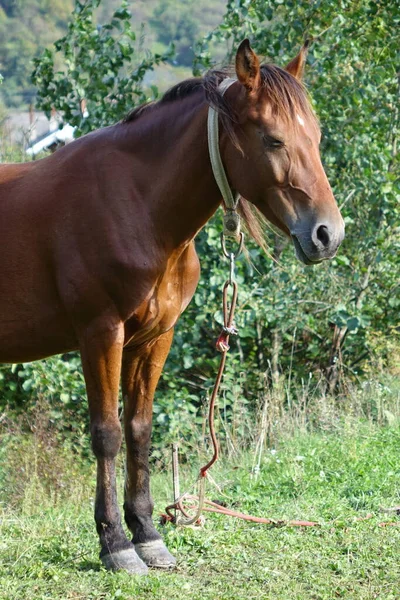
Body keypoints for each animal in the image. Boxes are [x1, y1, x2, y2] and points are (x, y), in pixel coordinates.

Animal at [0, 39, 344, 576]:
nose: (328, 234)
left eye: (317, 134)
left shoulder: (155, 337)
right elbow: (108, 433)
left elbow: (139, 430)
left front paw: (147, 534)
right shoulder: (101, 333)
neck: (135, 205)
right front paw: (115, 544)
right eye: (273, 140)